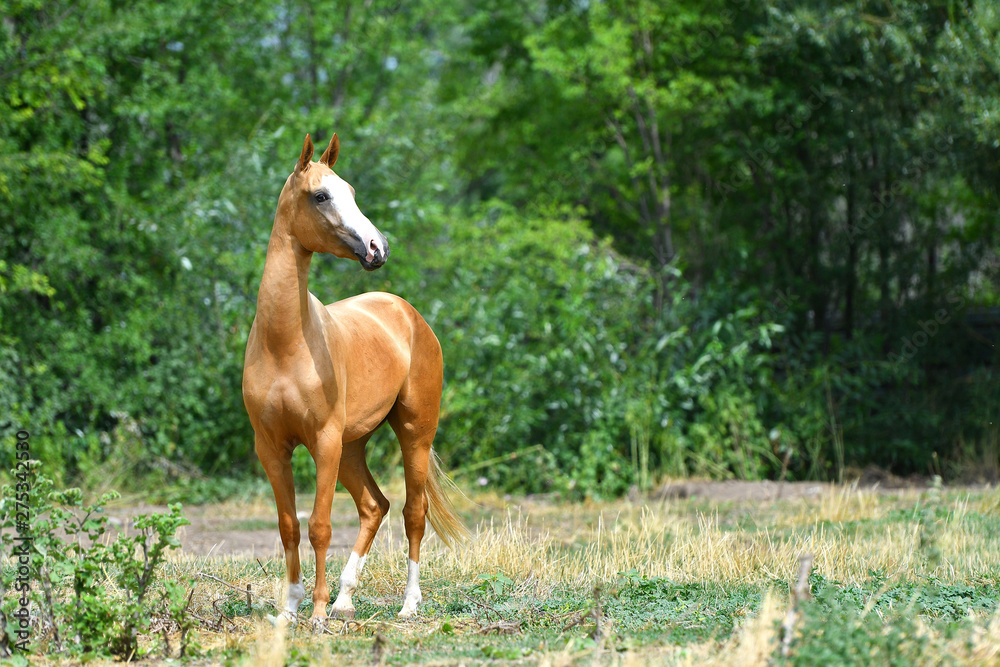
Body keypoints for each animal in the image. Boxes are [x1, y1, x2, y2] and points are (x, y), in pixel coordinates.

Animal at [242, 132, 467, 625]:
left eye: (352, 192)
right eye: (321, 196)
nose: (377, 248)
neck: (285, 344)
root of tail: (408, 314)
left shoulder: (323, 442)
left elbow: (320, 527)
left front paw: (317, 613)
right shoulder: (272, 448)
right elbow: (288, 527)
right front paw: (289, 609)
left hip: (412, 434)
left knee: (413, 512)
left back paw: (408, 604)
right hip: (352, 447)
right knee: (374, 506)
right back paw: (346, 597)